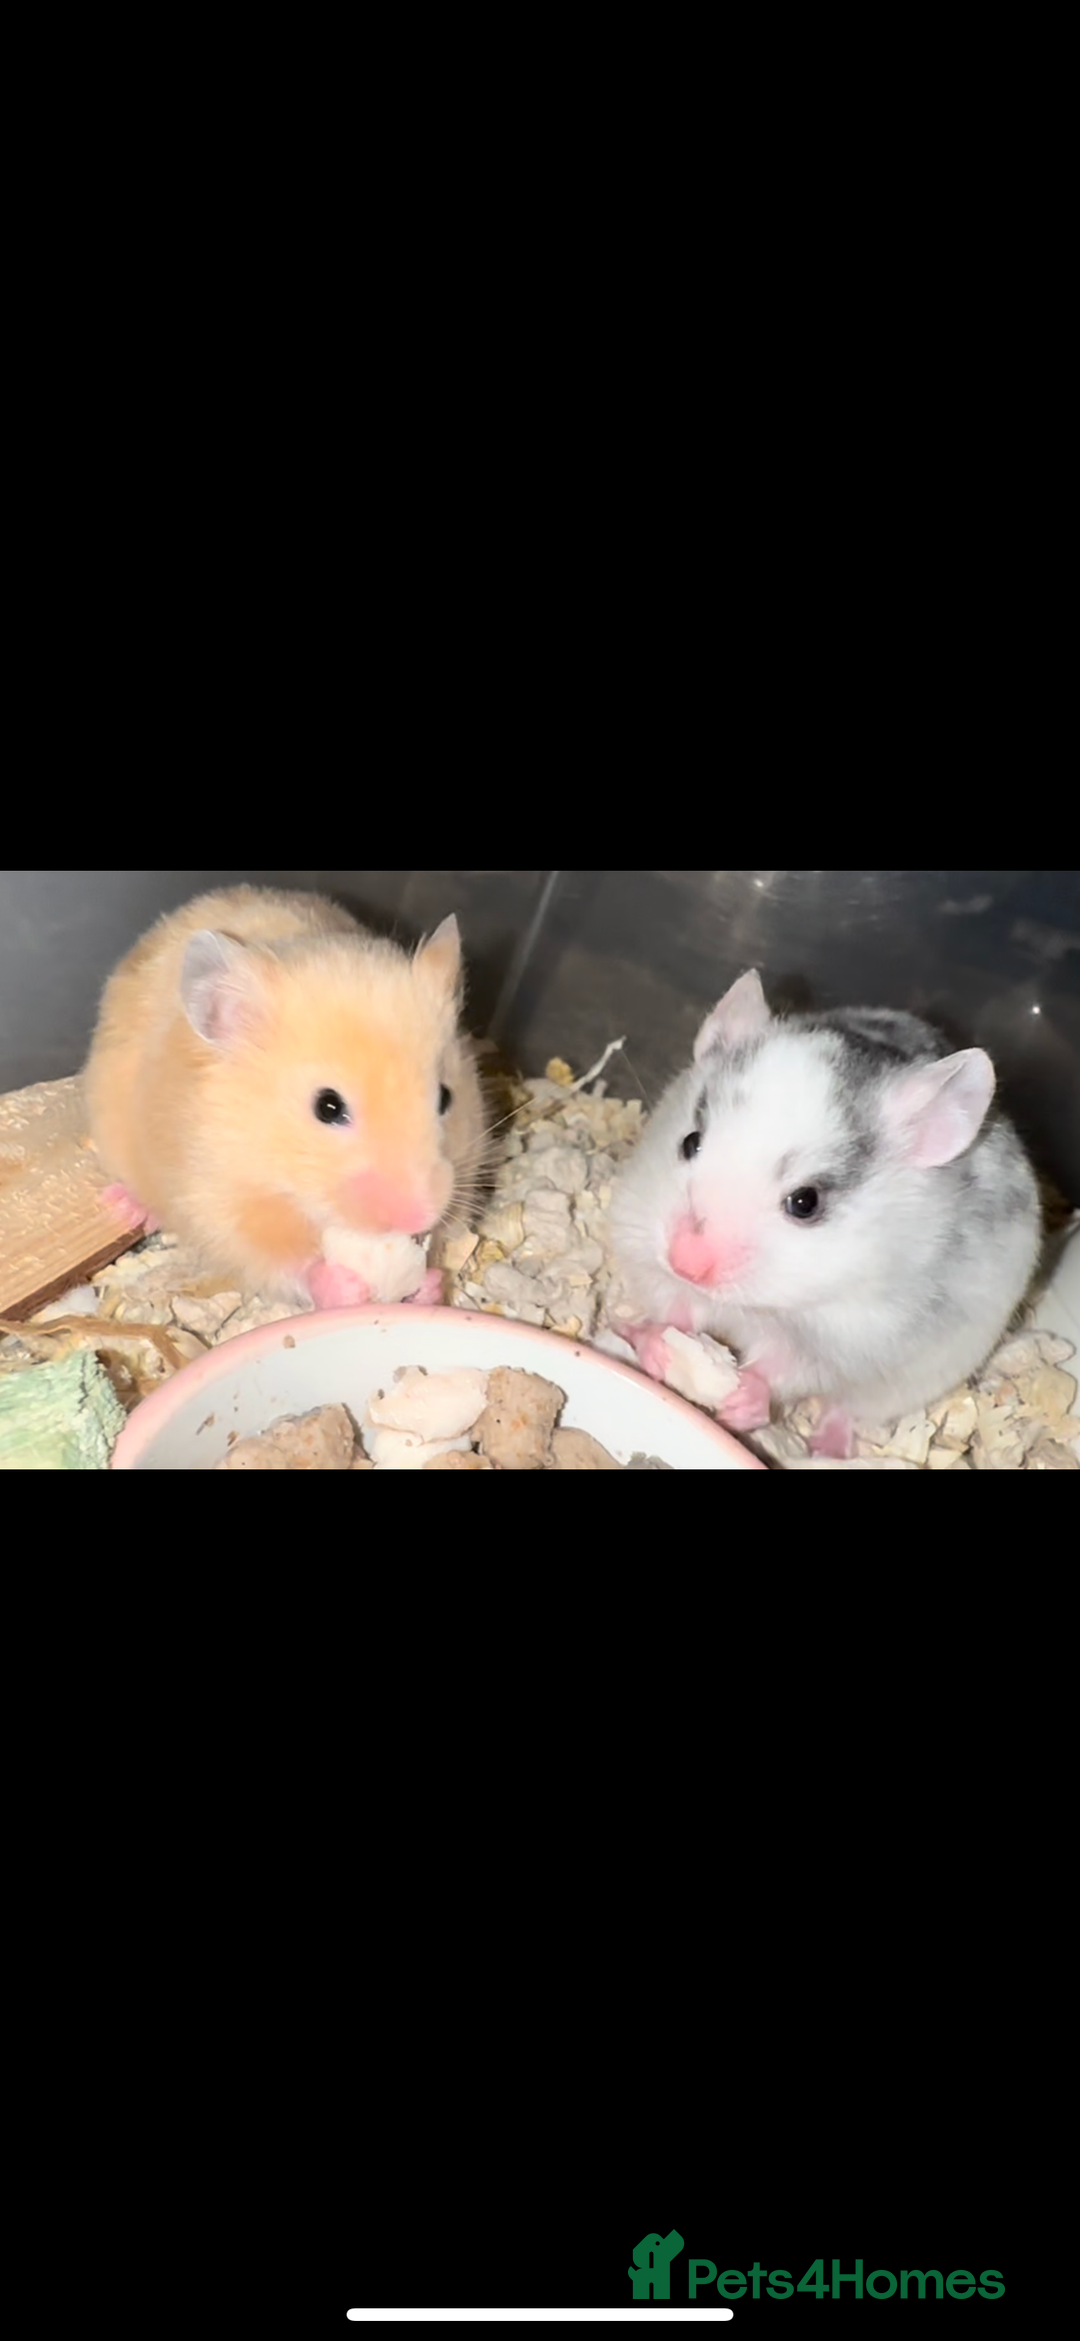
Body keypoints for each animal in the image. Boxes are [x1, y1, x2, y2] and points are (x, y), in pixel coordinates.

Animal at [84, 885, 490, 1308]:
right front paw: (345, 1288)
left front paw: (428, 1285)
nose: (420, 1217)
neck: (286, 1184)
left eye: (445, 1097)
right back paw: (126, 1208)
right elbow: (282, 1264)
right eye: (328, 1107)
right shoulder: (219, 1203)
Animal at [608, 969, 1042, 1453]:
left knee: (846, 1409)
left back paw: (825, 1447)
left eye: (805, 1202)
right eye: (690, 1142)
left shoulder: (844, 1338)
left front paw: (742, 1401)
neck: (758, 1306)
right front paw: (658, 1347)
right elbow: (675, 1307)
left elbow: (782, 1367)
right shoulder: (647, 1253)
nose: (686, 1262)